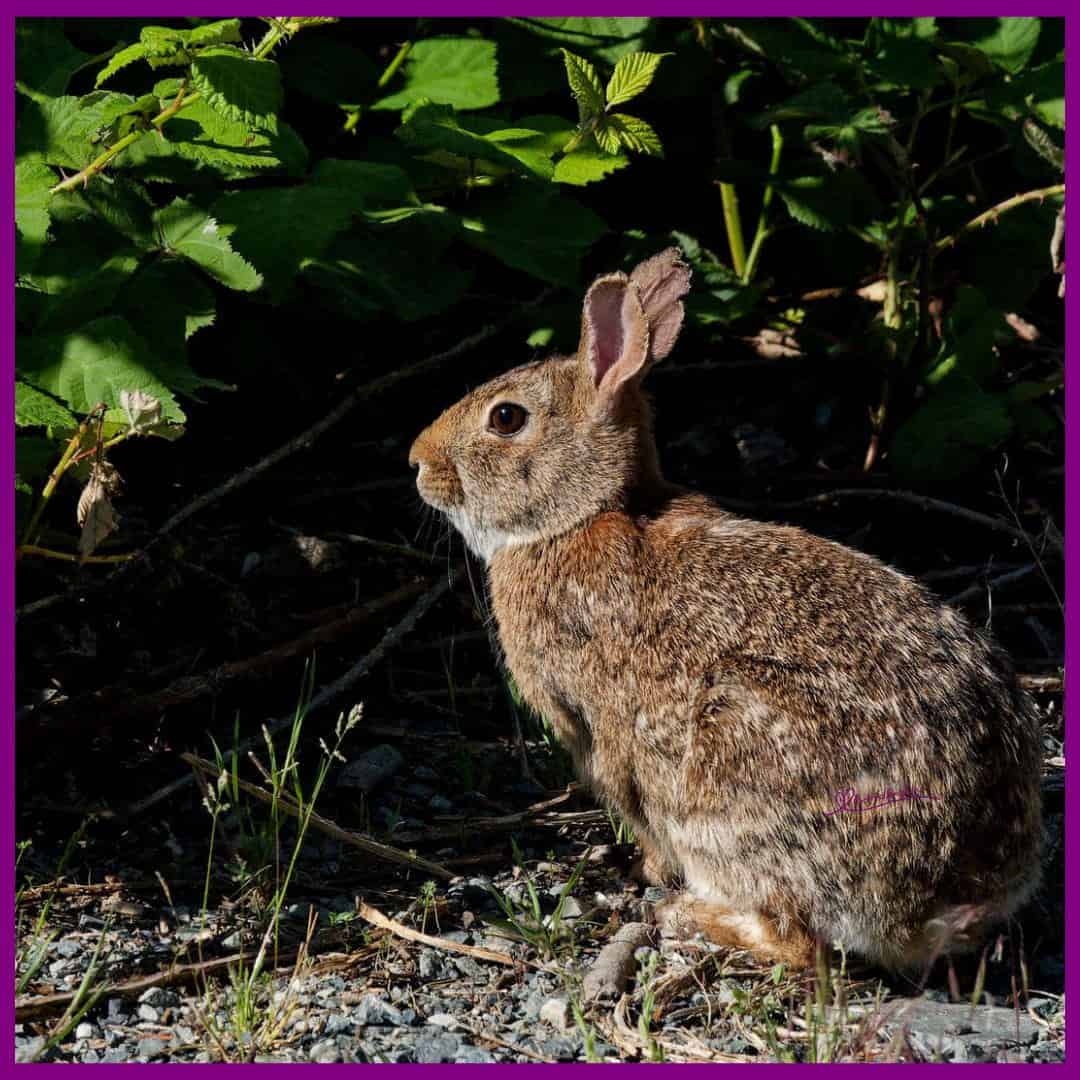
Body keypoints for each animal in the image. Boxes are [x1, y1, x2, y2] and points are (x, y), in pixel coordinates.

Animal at [408, 248, 1043, 970]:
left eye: (507, 419)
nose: (417, 463)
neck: (581, 516)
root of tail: (939, 900)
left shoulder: (599, 732)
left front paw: (650, 875)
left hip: (729, 776)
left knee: (796, 940)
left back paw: (689, 914)